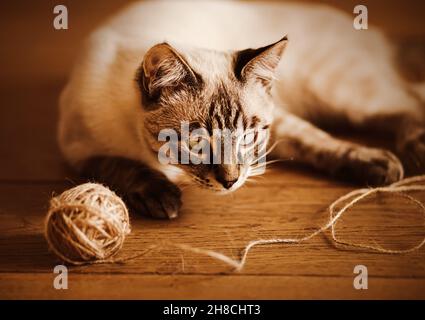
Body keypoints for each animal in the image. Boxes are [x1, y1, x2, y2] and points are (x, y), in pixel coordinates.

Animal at [58, 0, 424, 219]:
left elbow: (318, 141)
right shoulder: (78, 149)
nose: (232, 182)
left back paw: (414, 150)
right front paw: (162, 197)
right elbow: (119, 166)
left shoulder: (279, 122)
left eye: (247, 136)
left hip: (343, 96)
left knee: (408, 100)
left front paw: (375, 164)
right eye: (196, 143)